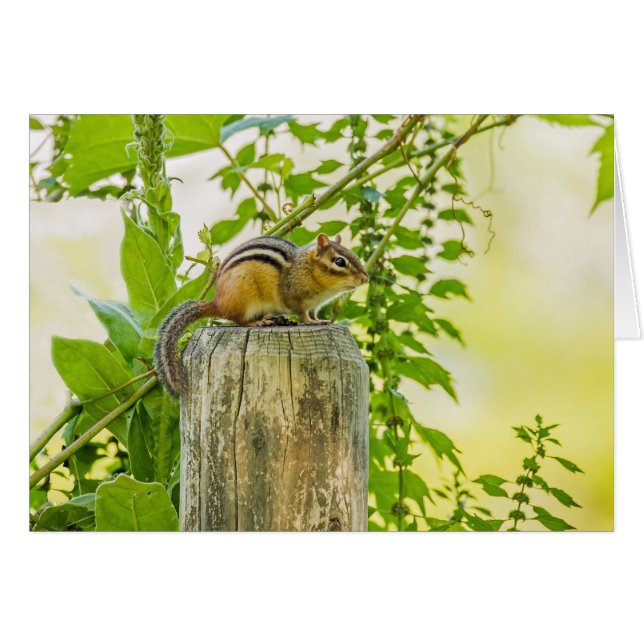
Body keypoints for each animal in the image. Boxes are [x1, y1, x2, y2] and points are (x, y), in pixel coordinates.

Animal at [154, 233, 369, 397]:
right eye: (339, 261)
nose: (365, 279)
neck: (309, 270)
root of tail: (218, 302)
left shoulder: (314, 305)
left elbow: (313, 314)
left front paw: (321, 321)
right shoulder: (296, 299)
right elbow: (303, 315)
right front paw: (310, 323)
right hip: (244, 296)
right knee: (239, 320)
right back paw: (260, 322)